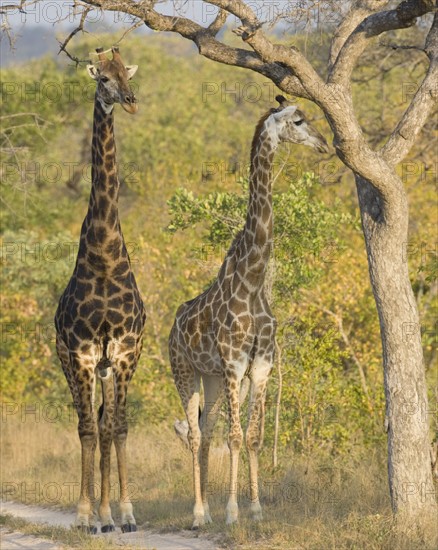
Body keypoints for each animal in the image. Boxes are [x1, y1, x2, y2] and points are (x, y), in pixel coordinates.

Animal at [169, 96, 326, 532]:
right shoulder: (235, 364)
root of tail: (171, 328)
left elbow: (253, 436)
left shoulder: (260, 366)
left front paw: (255, 509)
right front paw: (233, 512)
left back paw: (204, 510)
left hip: (212, 378)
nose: (325, 145)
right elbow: (236, 437)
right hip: (184, 370)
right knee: (194, 433)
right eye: (298, 120)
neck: (253, 281)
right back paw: (199, 514)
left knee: (206, 430)